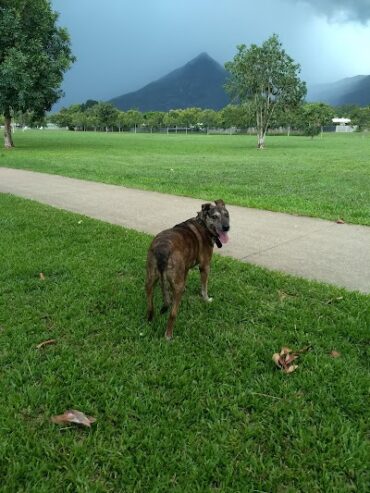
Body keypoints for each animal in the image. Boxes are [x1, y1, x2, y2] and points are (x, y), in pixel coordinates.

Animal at [146, 199, 230, 338]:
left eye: (226, 215)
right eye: (214, 217)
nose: (226, 227)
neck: (203, 224)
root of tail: (162, 250)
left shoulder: (184, 268)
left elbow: (185, 278)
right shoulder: (205, 266)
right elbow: (204, 288)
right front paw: (206, 299)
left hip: (150, 278)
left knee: (150, 304)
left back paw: (149, 320)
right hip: (173, 287)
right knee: (172, 314)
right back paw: (168, 334)